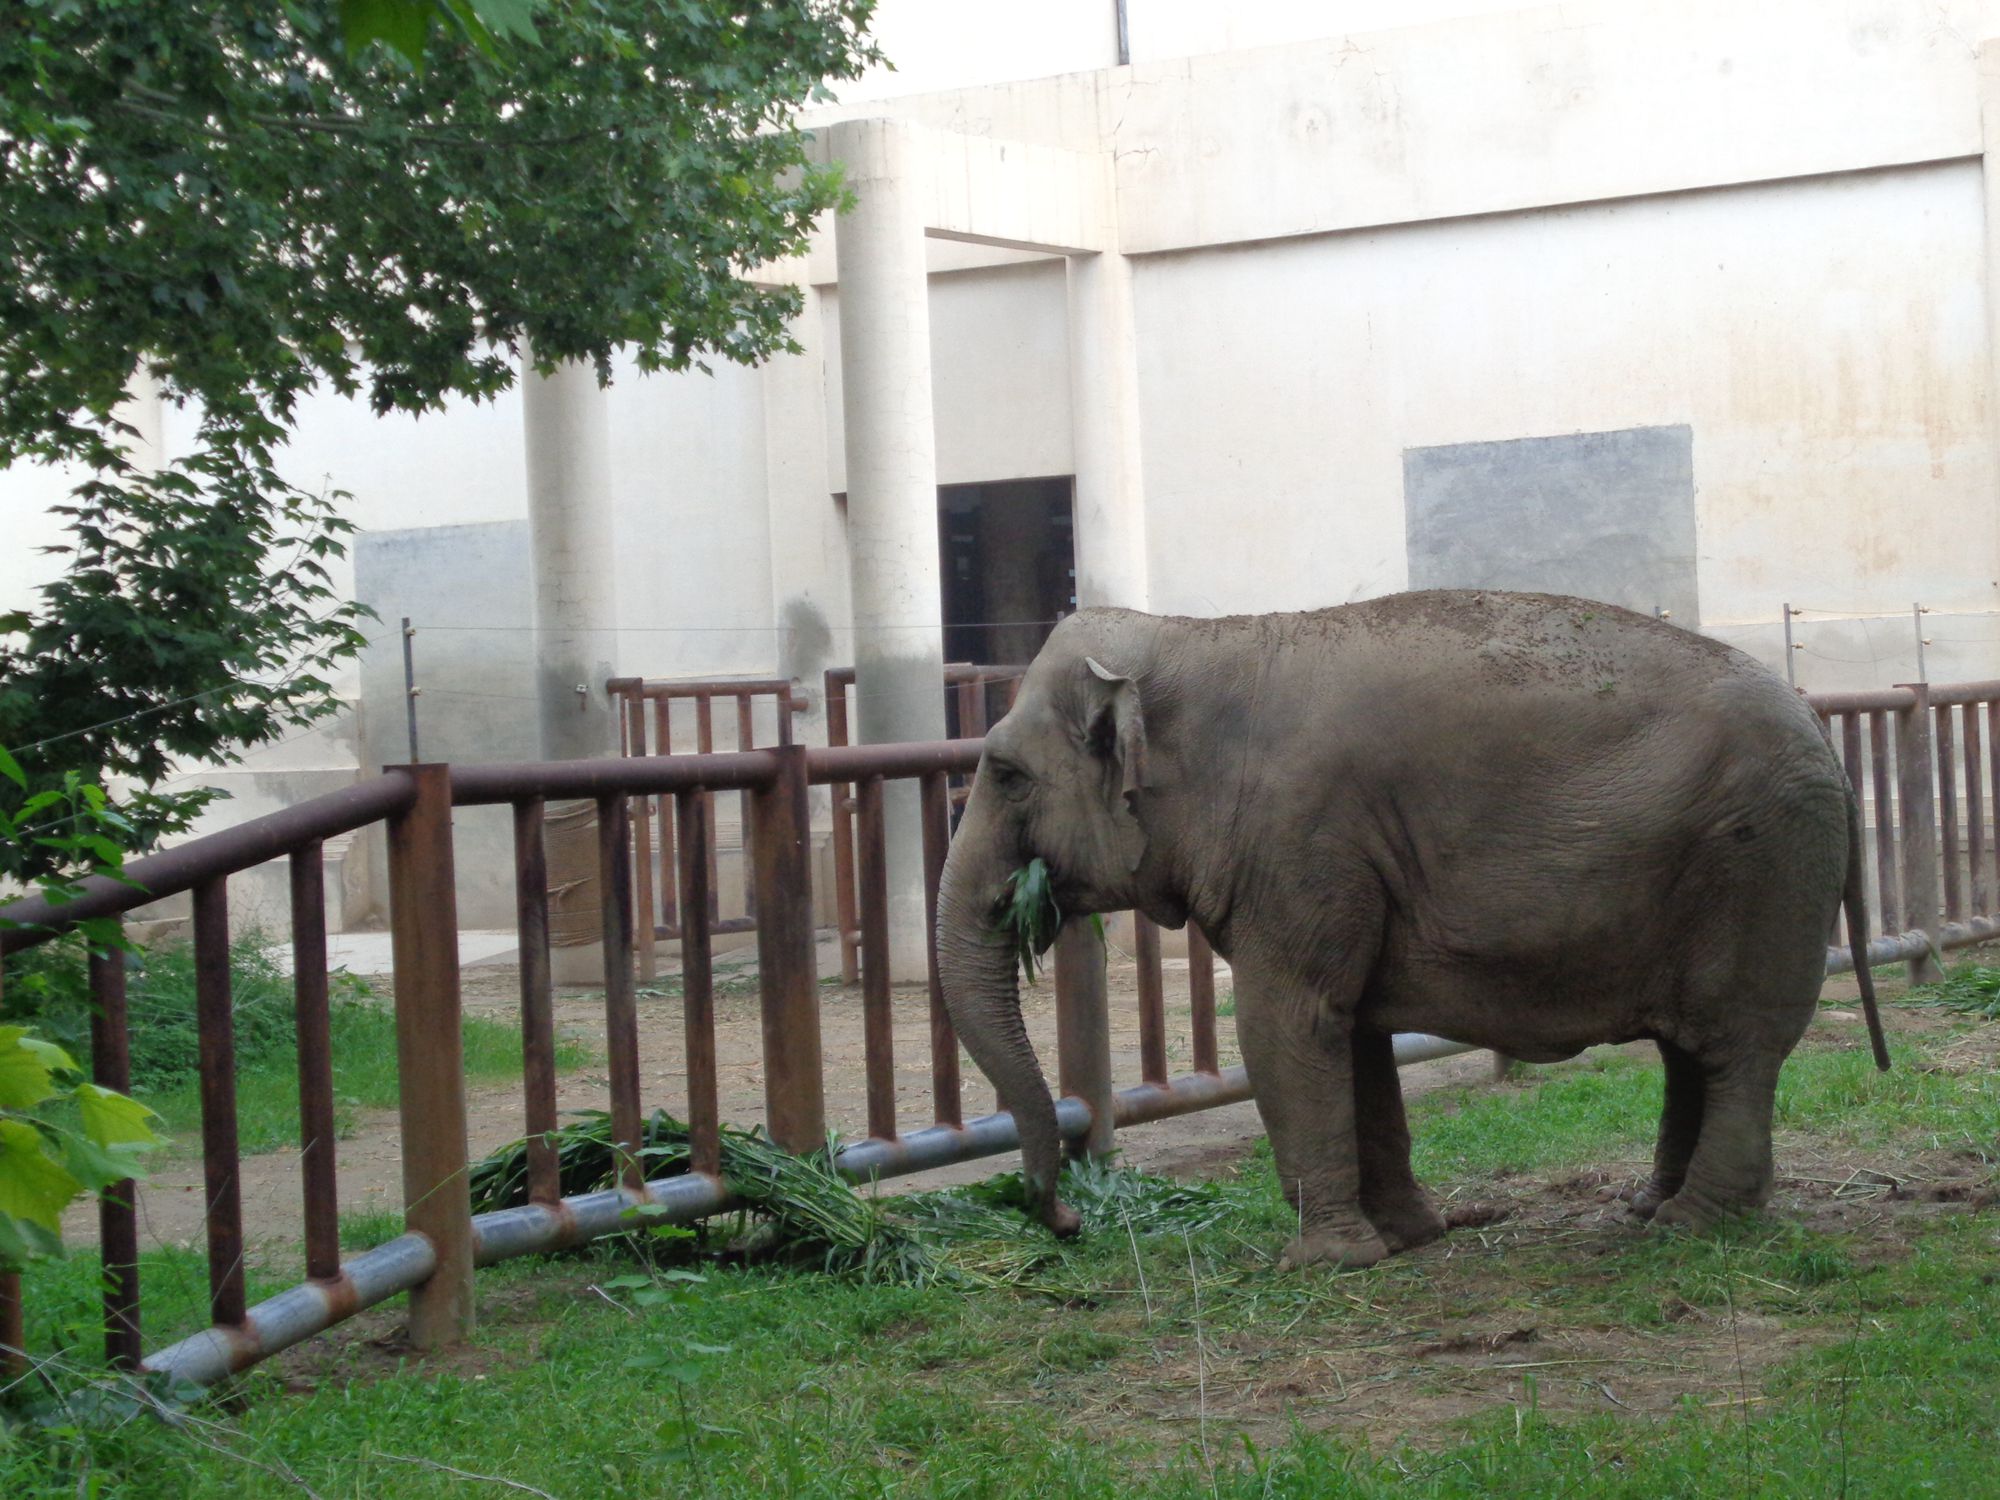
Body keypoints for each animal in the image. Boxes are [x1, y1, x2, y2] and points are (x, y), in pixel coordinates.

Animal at [928, 588, 1880, 1272]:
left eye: (1004, 774)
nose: (1065, 1220)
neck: (1194, 639)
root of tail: (1823, 734)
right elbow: (1353, 1034)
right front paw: (1406, 1239)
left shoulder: (1301, 840)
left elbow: (1287, 1024)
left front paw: (1323, 1265)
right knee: (1694, 1051)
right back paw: (1650, 1209)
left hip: (1760, 866)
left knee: (1738, 1047)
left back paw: (1694, 1224)